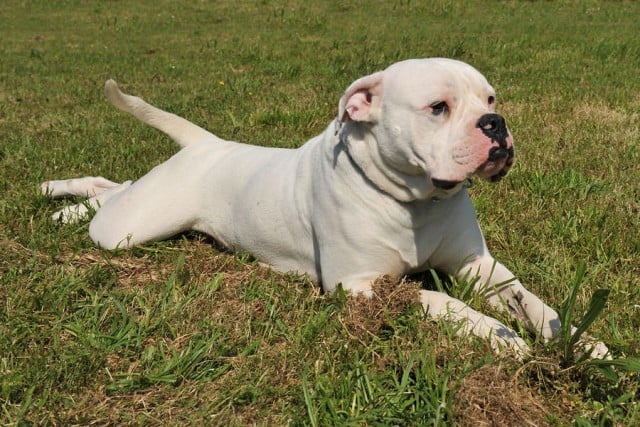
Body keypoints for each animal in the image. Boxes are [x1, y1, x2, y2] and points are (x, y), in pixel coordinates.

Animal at [41, 56, 608, 358]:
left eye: (490, 100)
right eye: (438, 107)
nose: (496, 124)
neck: (416, 202)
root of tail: (207, 145)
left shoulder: (476, 265)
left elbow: (530, 301)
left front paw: (576, 341)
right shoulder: (360, 286)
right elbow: (436, 300)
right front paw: (500, 338)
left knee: (112, 182)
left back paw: (54, 195)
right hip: (130, 229)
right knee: (111, 200)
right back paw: (60, 203)